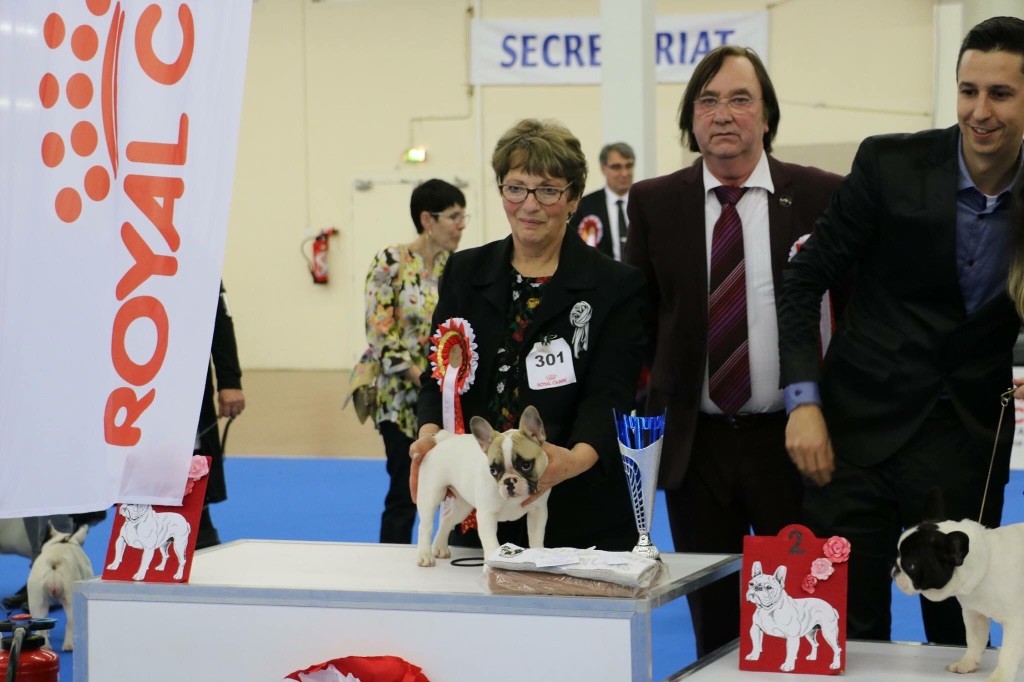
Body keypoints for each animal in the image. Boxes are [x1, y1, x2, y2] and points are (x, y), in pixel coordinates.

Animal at [415, 405, 550, 567]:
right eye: (493, 470)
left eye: (526, 465)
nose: (509, 481)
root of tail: (444, 441)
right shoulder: (486, 515)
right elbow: (492, 544)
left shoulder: (538, 511)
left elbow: (536, 538)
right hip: (431, 496)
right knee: (425, 526)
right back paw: (424, 555)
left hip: (463, 506)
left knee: (447, 518)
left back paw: (440, 547)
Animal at [893, 490, 1024, 682]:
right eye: (898, 555)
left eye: (911, 565)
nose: (895, 568)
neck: (986, 565)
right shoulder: (974, 613)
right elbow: (974, 640)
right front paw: (967, 664)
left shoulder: (1016, 622)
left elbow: (1008, 653)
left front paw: (1001, 676)